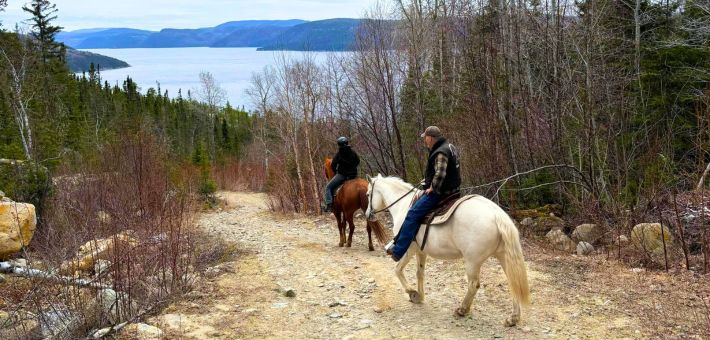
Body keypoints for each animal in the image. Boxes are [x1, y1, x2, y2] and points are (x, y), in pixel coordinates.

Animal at [368, 174, 528, 326]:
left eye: (368, 194)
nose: (368, 215)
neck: (403, 206)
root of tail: (497, 215)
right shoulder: (421, 251)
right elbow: (420, 273)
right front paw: (420, 296)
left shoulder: (409, 249)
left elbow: (397, 269)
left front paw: (412, 293)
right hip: (503, 256)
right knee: (512, 283)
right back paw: (513, 318)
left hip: (472, 261)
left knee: (473, 285)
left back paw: (462, 310)